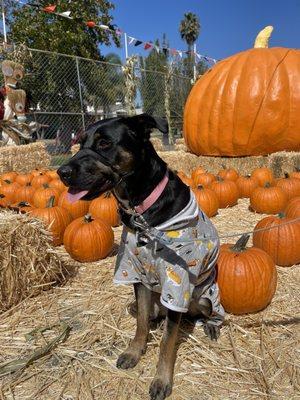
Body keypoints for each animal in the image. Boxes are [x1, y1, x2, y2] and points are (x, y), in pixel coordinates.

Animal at [57, 115, 224, 400]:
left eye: (104, 143)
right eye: (80, 143)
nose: (61, 172)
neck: (141, 209)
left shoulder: (177, 284)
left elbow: (167, 342)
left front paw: (161, 379)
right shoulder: (136, 273)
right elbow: (141, 323)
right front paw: (134, 351)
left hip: (203, 297)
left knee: (205, 313)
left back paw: (211, 324)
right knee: (149, 314)